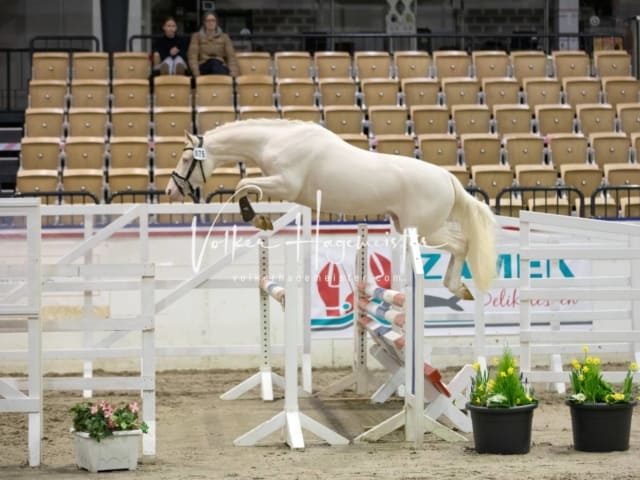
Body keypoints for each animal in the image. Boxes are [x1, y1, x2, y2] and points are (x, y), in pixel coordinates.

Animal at [166, 118, 500, 298]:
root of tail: (448, 178)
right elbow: (245, 186)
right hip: (412, 227)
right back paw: (459, 288)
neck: (277, 140)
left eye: (186, 159)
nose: (170, 190)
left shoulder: (285, 184)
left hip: (424, 230)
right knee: (460, 245)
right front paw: (260, 219)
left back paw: (456, 287)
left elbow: (242, 185)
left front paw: (258, 220)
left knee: (462, 244)